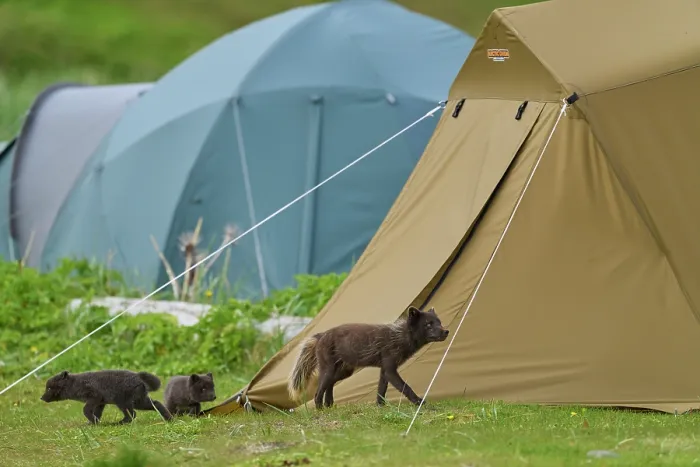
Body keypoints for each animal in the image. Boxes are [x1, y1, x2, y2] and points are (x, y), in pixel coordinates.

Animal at [40, 369, 173, 424]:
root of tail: (139, 377)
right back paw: (169, 419)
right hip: (139, 401)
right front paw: (93, 423)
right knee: (156, 403)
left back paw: (119, 423)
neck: (76, 384)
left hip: (124, 402)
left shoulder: (94, 397)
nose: (41, 398)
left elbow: (85, 410)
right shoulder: (100, 402)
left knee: (132, 415)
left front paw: (93, 421)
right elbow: (97, 413)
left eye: (49, 388)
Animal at [287, 306, 449, 409]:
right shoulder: (390, 369)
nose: (446, 331)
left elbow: (381, 390)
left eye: (439, 322)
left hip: (344, 372)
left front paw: (380, 406)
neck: (400, 336)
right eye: (428, 324)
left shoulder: (384, 370)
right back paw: (321, 409)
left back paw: (330, 406)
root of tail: (321, 335)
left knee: (330, 385)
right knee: (318, 392)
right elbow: (406, 387)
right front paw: (419, 403)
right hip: (328, 370)